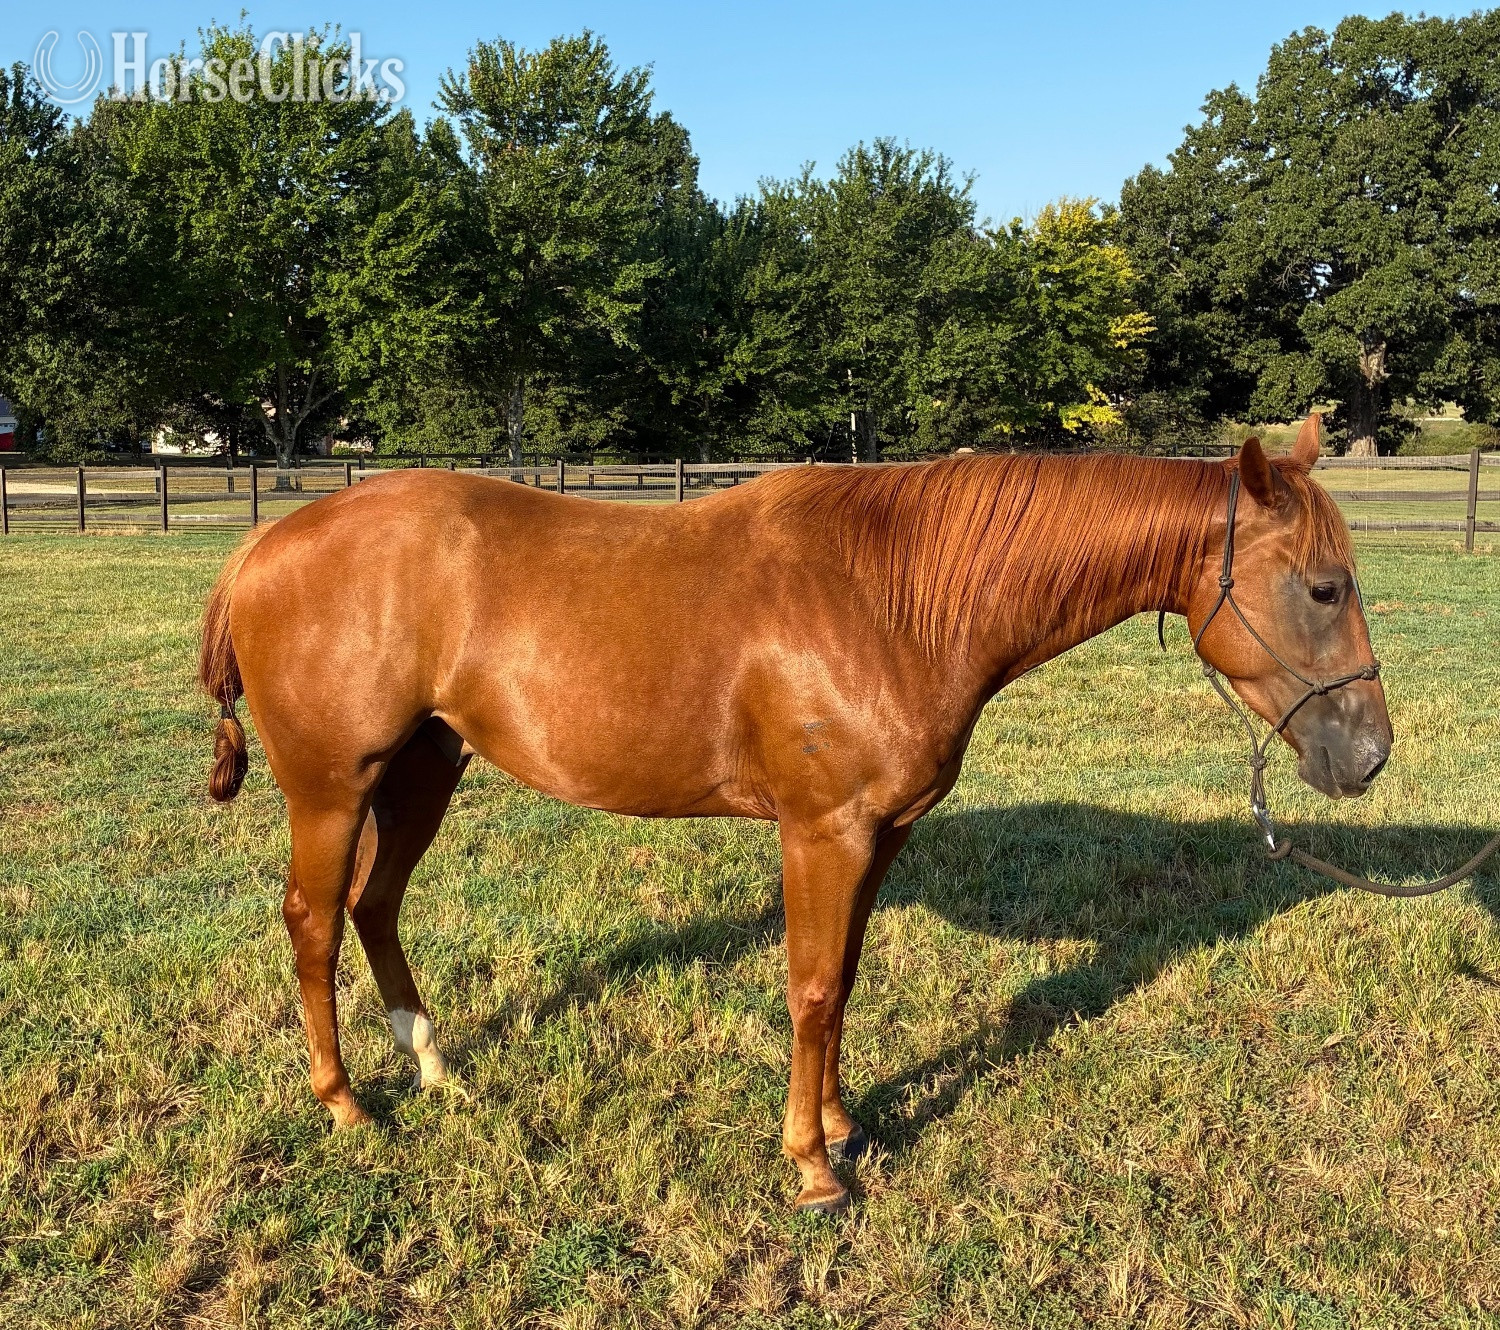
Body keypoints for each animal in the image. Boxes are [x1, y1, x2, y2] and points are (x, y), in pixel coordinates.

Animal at [199, 414, 1389, 1213]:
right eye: (1324, 588)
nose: (1369, 752)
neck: (894, 594)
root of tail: (266, 545)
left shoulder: (882, 833)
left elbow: (844, 980)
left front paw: (844, 1125)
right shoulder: (824, 832)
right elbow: (811, 990)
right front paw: (813, 1167)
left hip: (423, 770)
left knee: (375, 906)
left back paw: (433, 1065)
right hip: (333, 790)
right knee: (313, 921)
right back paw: (345, 1102)